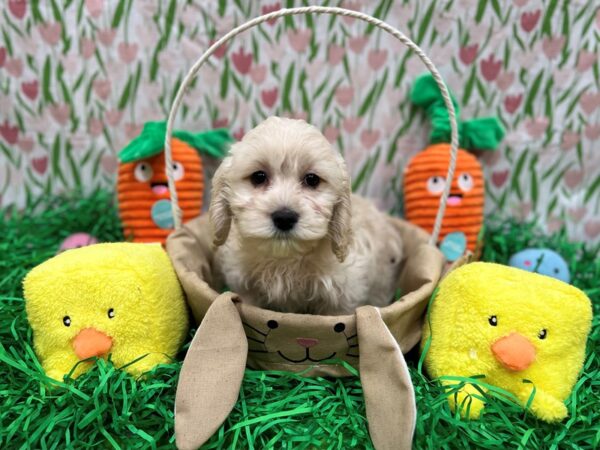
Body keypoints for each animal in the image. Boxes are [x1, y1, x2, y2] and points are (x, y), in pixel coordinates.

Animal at [210, 118, 404, 314]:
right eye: (258, 177)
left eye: (312, 179)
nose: (284, 218)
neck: (285, 260)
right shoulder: (246, 288)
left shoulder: (343, 299)